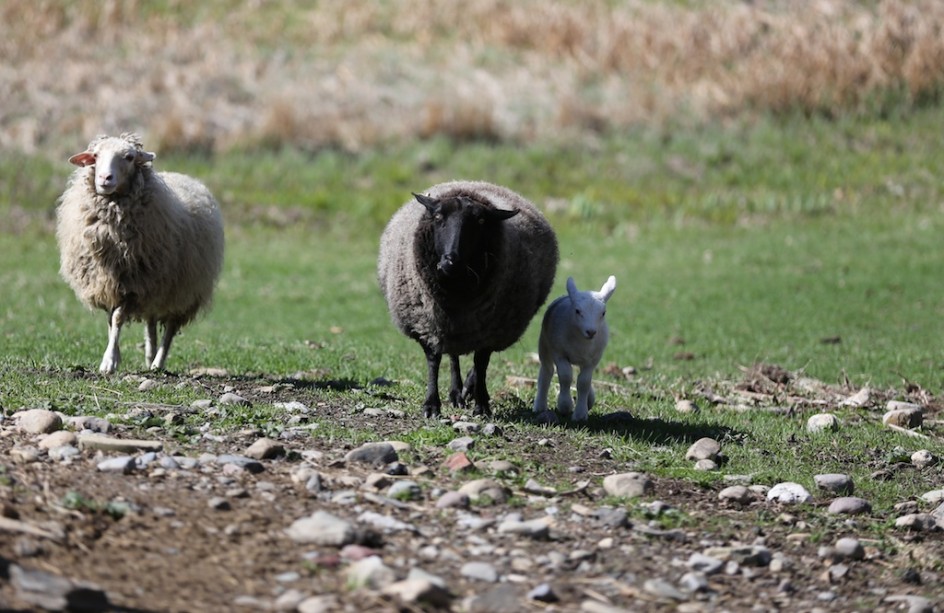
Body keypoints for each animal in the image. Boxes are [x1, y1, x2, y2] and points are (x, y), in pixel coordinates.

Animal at [55, 133, 225, 372]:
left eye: (129, 157)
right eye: (95, 155)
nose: (105, 178)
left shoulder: (133, 284)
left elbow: (117, 318)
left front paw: (109, 361)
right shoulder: (106, 282)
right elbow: (111, 321)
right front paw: (114, 357)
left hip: (183, 289)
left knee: (170, 328)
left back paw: (157, 362)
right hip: (155, 289)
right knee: (151, 323)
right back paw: (149, 355)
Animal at [536, 276, 616, 420]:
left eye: (603, 313)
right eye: (577, 311)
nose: (591, 332)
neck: (582, 341)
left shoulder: (593, 359)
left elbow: (584, 382)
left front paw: (580, 413)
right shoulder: (559, 353)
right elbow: (566, 376)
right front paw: (565, 405)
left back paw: (589, 399)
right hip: (544, 343)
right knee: (547, 371)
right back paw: (539, 405)